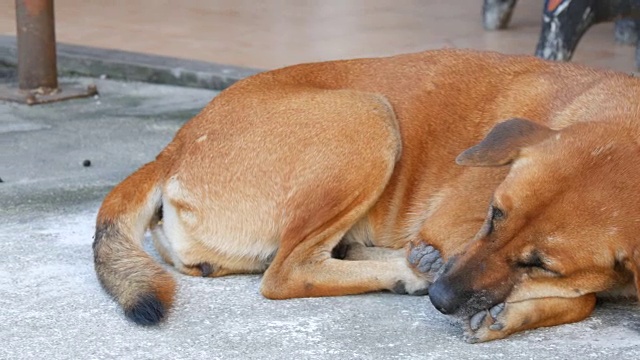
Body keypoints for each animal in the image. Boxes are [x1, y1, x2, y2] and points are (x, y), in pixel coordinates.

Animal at [94, 49, 640, 342]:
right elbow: (587, 298)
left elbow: (584, 294)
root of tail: (175, 145)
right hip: (371, 115)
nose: (442, 300)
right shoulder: (455, 230)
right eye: (493, 215)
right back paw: (408, 272)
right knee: (288, 272)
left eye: (542, 264)